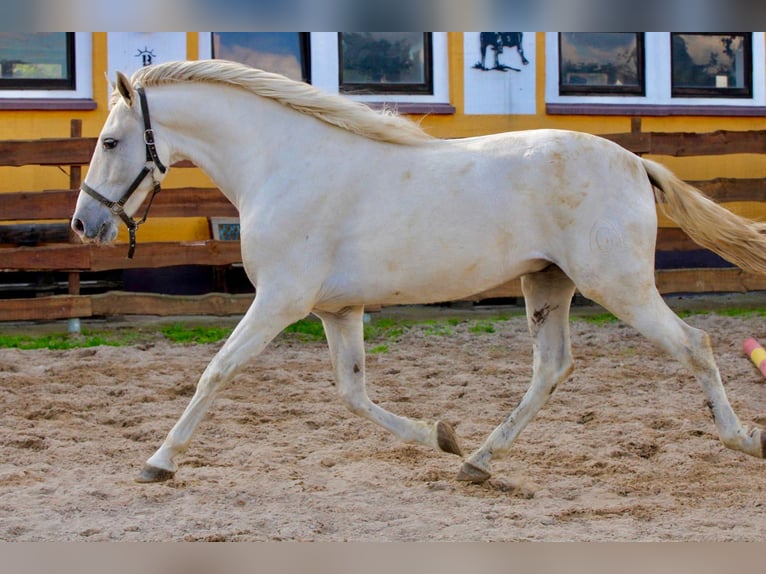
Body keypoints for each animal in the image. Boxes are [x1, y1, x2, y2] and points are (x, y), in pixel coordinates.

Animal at [71, 59, 766, 484]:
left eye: (109, 142)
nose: (84, 224)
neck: (285, 163)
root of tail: (633, 162)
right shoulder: (337, 311)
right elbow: (352, 394)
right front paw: (441, 436)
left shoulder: (279, 301)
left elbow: (216, 371)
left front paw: (158, 462)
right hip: (547, 283)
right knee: (552, 368)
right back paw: (477, 461)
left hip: (616, 285)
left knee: (696, 345)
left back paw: (744, 441)